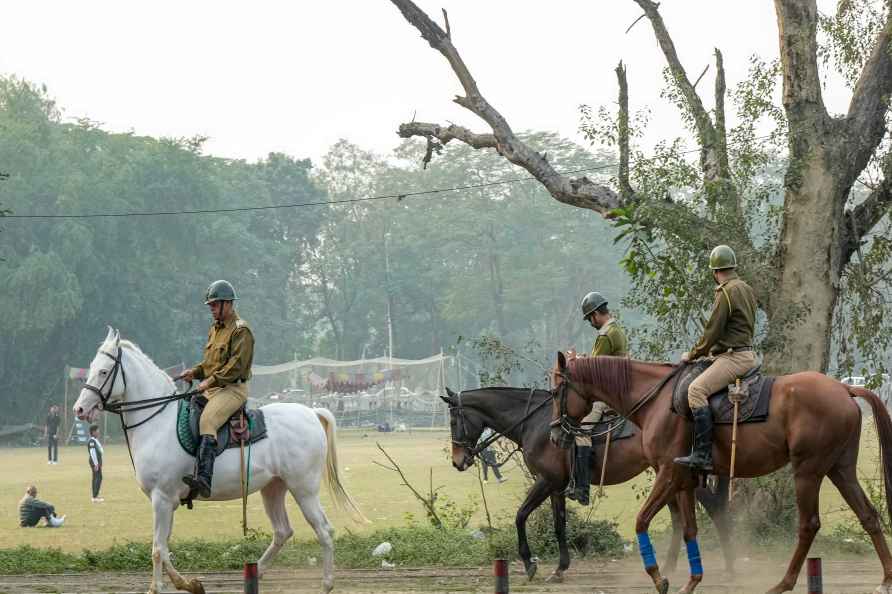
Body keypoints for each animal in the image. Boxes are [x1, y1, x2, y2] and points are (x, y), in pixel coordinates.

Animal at [71, 328, 360, 592]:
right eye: (92, 368)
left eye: (104, 372)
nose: (80, 409)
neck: (158, 421)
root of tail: (311, 413)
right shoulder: (168, 501)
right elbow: (164, 546)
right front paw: (188, 584)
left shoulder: (161, 498)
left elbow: (157, 548)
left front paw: (159, 587)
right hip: (273, 488)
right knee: (282, 531)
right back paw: (256, 572)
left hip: (303, 489)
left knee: (324, 530)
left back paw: (326, 583)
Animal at [442, 384, 736, 584]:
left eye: (454, 420)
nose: (458, 461)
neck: (536, 423)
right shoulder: (556, 487)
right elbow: (559, 524)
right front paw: (560, 568)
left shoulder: (546, 481)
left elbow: (521, 516)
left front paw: (529, 564)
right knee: (678, 519)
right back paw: (670, 566)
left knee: (715, 511)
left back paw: (729, 564)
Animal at [548, 352, 892, 592]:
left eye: (555, 391)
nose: (554, 435)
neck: (655, 400)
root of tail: (845, 389)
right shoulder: (684, 481)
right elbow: (689, 530)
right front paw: (692, 581)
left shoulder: (667, 474)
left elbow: (642, 520)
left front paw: (660, 579)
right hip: (840, 469)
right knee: (869, 516)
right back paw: (886, 579)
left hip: (807, 471)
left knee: (808, 524)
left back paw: (783, 584)